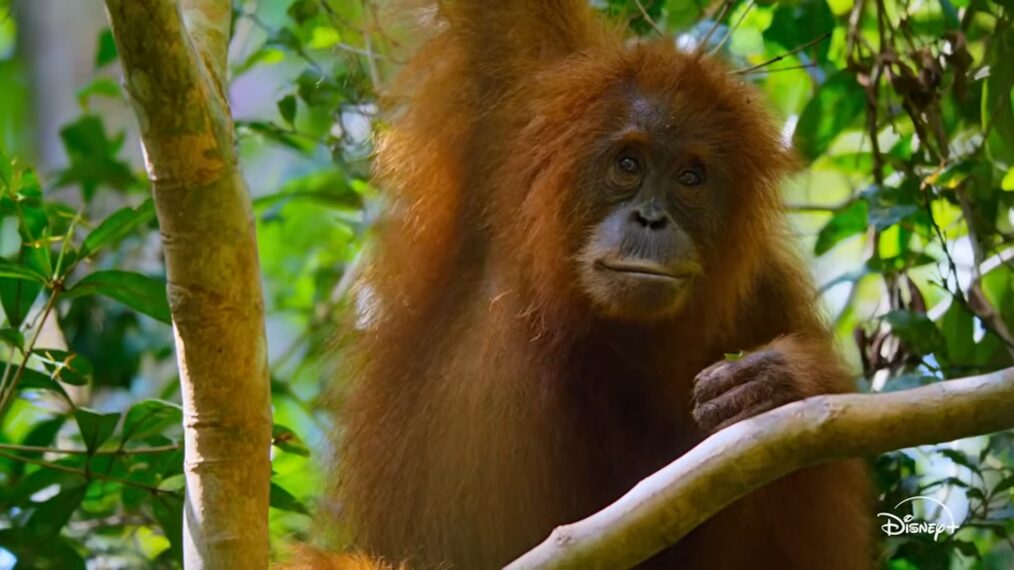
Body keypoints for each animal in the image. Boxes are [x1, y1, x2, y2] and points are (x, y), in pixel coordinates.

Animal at [316, 1, 874, 568]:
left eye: (690, 177)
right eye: (628, 163)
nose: (651, 219)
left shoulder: (764, 300)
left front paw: (779, 382)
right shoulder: (516, 99)